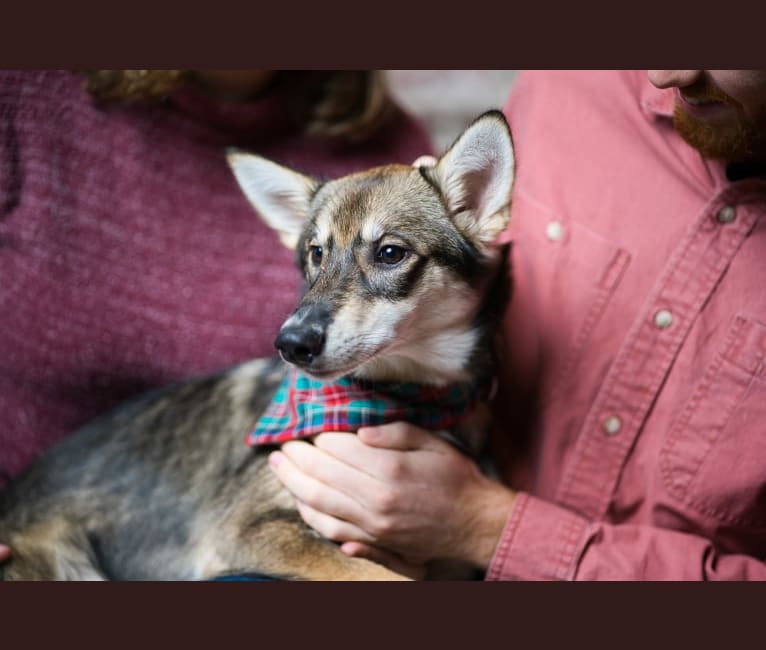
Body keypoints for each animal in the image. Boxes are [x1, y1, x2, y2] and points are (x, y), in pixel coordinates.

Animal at [0, 109, 520, 580]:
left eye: (390, 253)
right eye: (315, 253)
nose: (291, 343)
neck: (413, 400)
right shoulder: (246, 529)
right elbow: (375, 576)